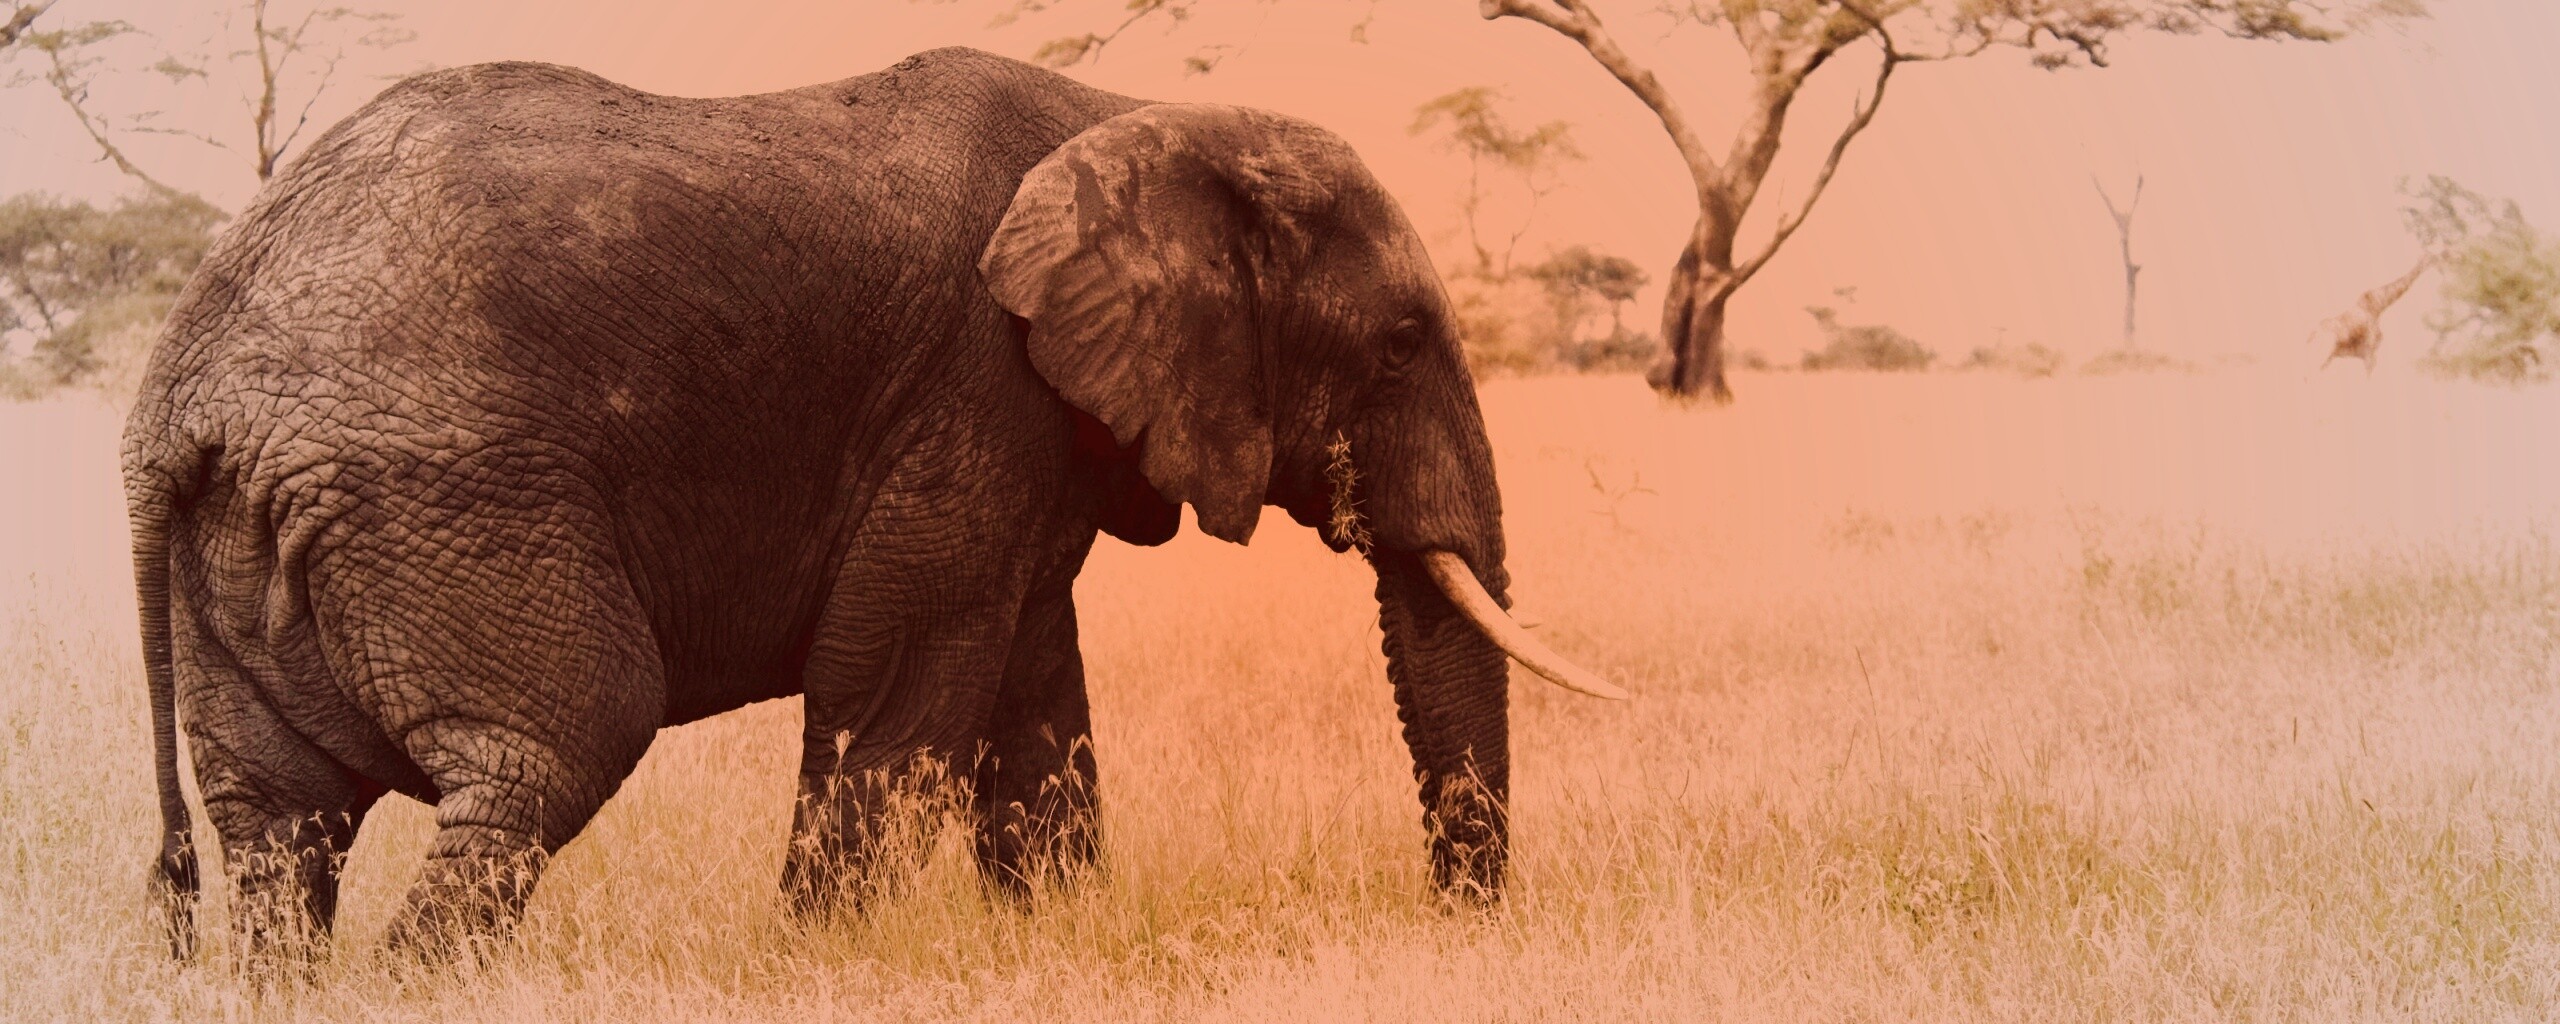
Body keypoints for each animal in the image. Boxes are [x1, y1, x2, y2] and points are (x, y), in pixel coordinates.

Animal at [122, 46, 1622, 959]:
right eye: (1399, 344)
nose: (1455, 925)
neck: (1136, 115)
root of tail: (178, 387)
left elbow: (1031, 692)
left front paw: (1050, 943)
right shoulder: (972, 383)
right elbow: (898, 680)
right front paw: (819, 964)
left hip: (256, 536)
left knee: (279, 826)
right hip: (442, 495)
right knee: (547, 750)